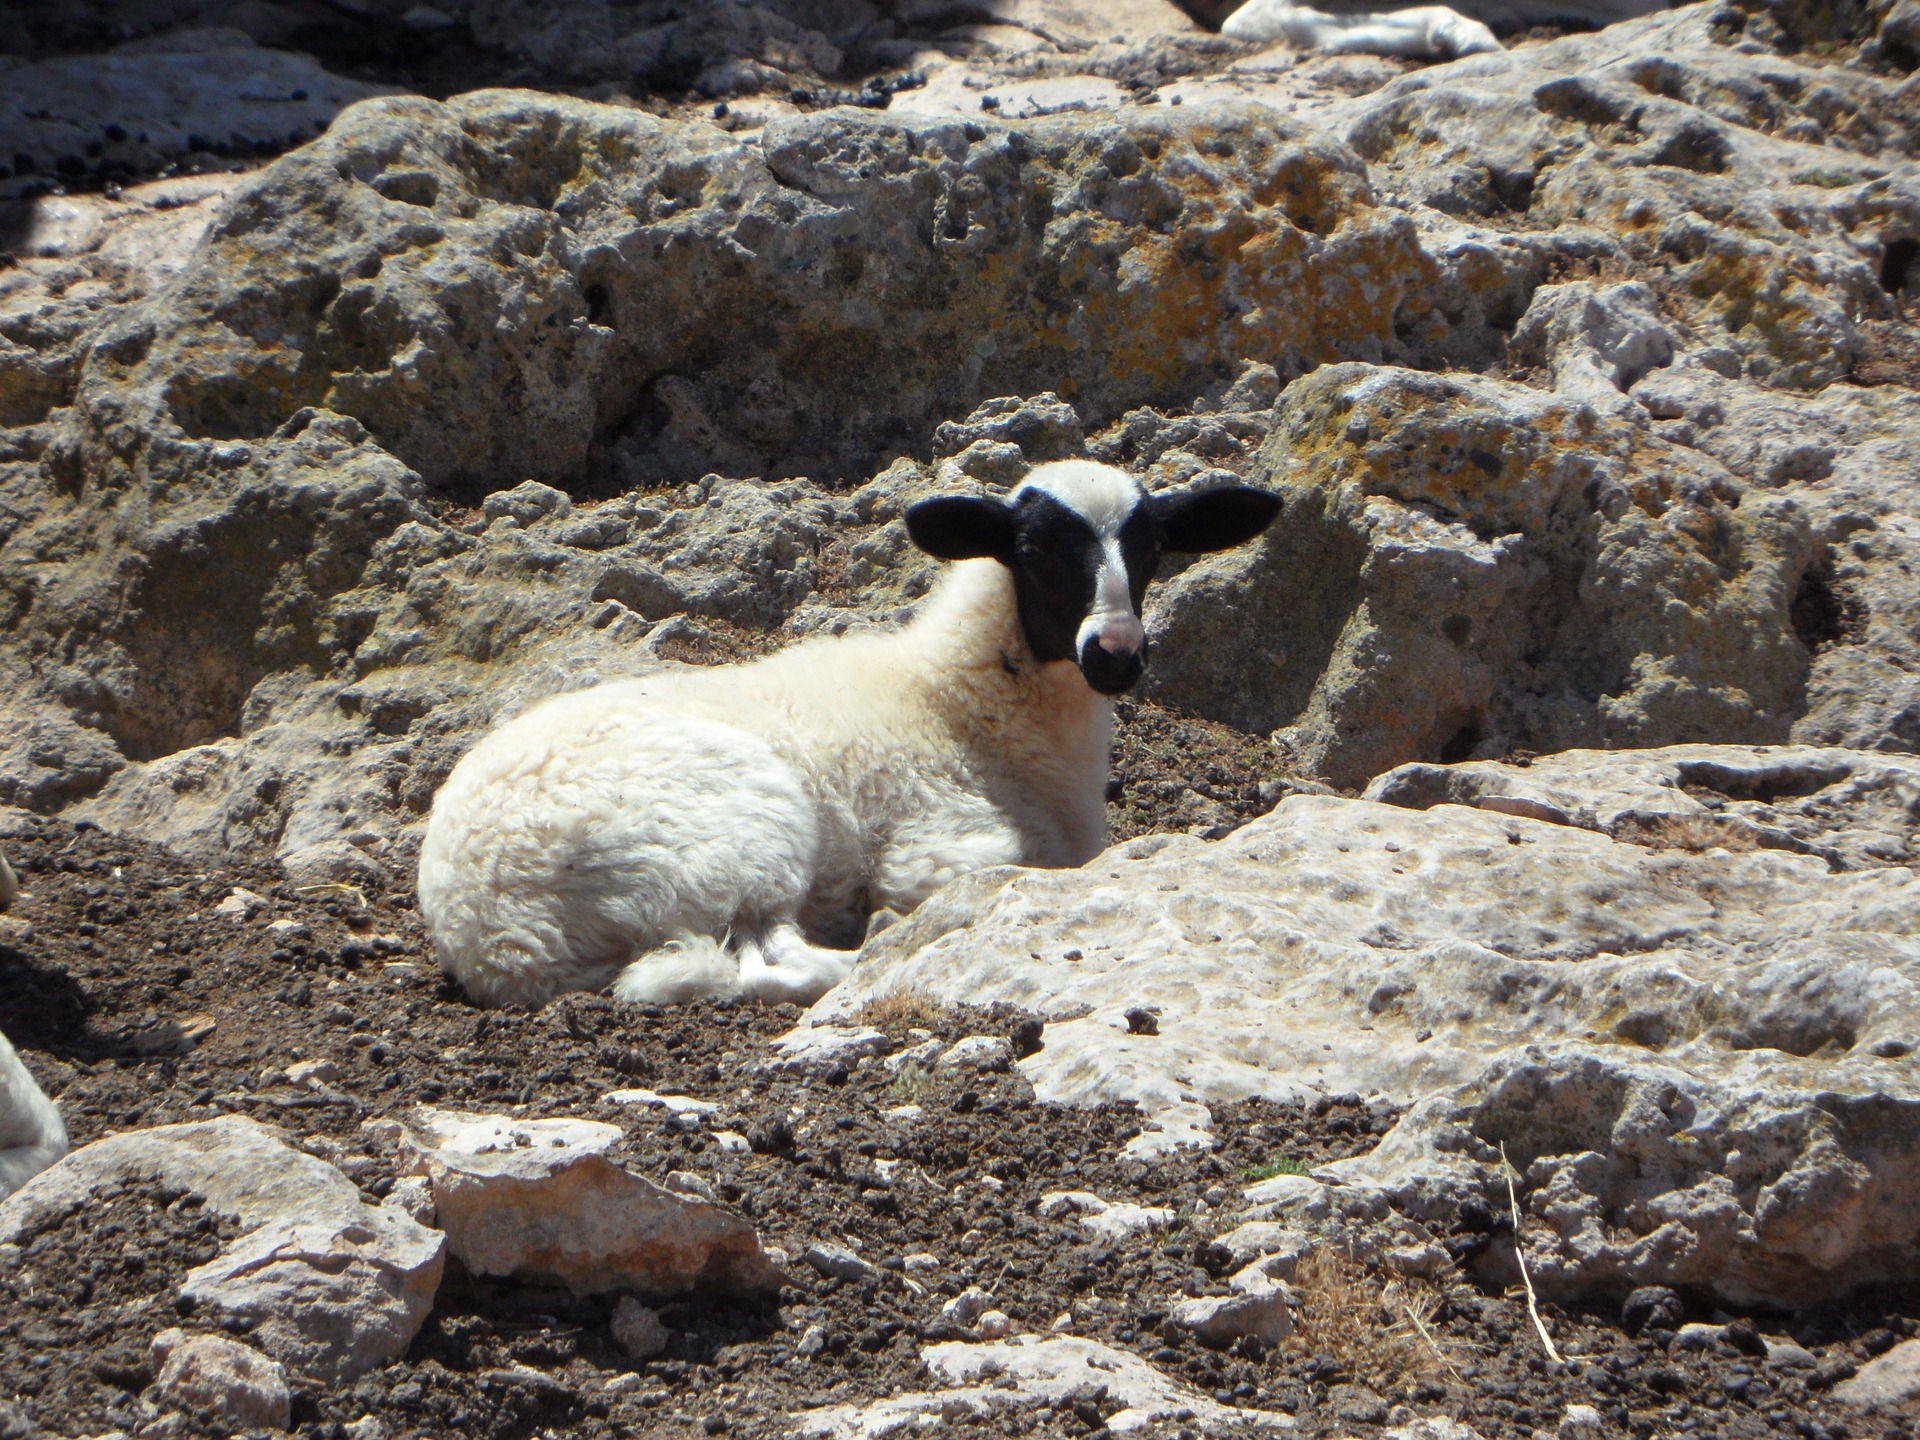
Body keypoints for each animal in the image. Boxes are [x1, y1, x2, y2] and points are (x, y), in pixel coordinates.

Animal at [417, 460, 1281, 1009]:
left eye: (1154, 547)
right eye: (1034, 551)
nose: (1116, 654)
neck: (956, 699)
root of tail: (497, 939)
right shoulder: (940, 842)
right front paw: (896, 919)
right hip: (735, 831)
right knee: (768, 959)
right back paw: (874, 945)